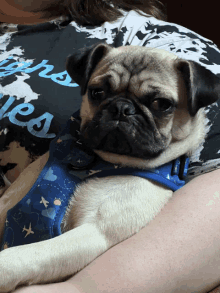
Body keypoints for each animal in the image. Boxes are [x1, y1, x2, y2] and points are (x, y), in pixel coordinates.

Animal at [0, 42, 219, 290]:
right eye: (97, 93)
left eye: (161, 104)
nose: (122, 108)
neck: (92, 161)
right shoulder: (7, 202)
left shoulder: (94, 232)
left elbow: (23, 256)